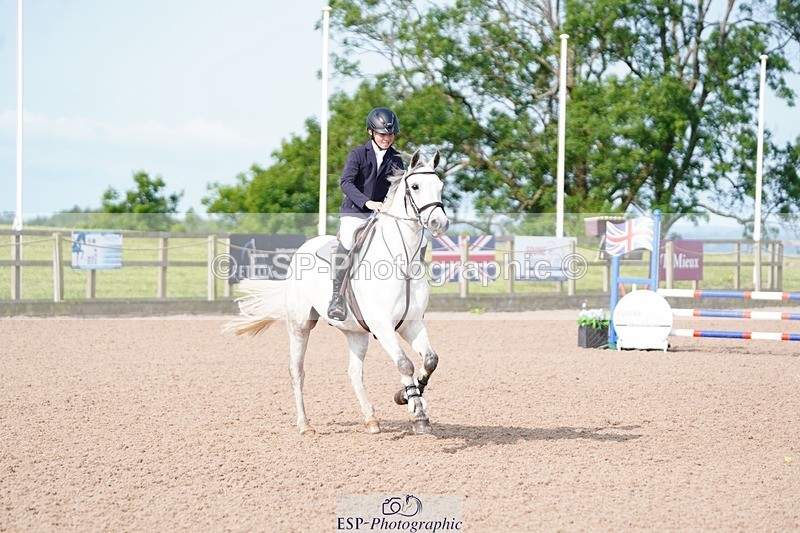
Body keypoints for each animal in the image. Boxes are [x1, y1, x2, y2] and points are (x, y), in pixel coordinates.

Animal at [227, 151, 450, 436]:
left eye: (440, 186)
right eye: (415, 186)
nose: (439, 223)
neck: (403, 261)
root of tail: (302, 249)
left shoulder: (412, 324)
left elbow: (430, 360)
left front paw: (406, 397)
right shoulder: (383, 325)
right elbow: (405, 363)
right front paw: (418, 413)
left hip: (356, 333)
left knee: (354, 372)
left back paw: (371, 420)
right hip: (300, 325)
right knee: (297, 370)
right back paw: (305, 425)